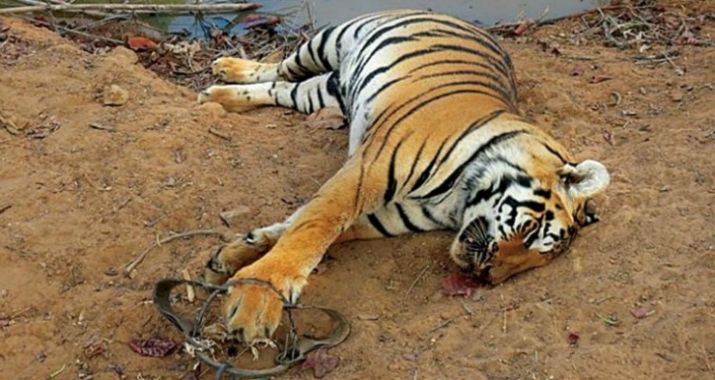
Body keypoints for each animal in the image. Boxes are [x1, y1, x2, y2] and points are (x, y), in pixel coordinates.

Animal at [196, 9, 608, 342]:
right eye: (533, 232)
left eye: (530, 265)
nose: (487, 276)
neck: (456, 203)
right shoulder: (367, 169)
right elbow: (314, 226)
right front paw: (257, 296)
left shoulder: (387, 216)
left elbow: (305, 225)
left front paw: (234, 254)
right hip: (328, 41)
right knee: (278, 67)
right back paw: (224, 72)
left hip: (325, 91)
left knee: (283, 88)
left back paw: (219, 96)